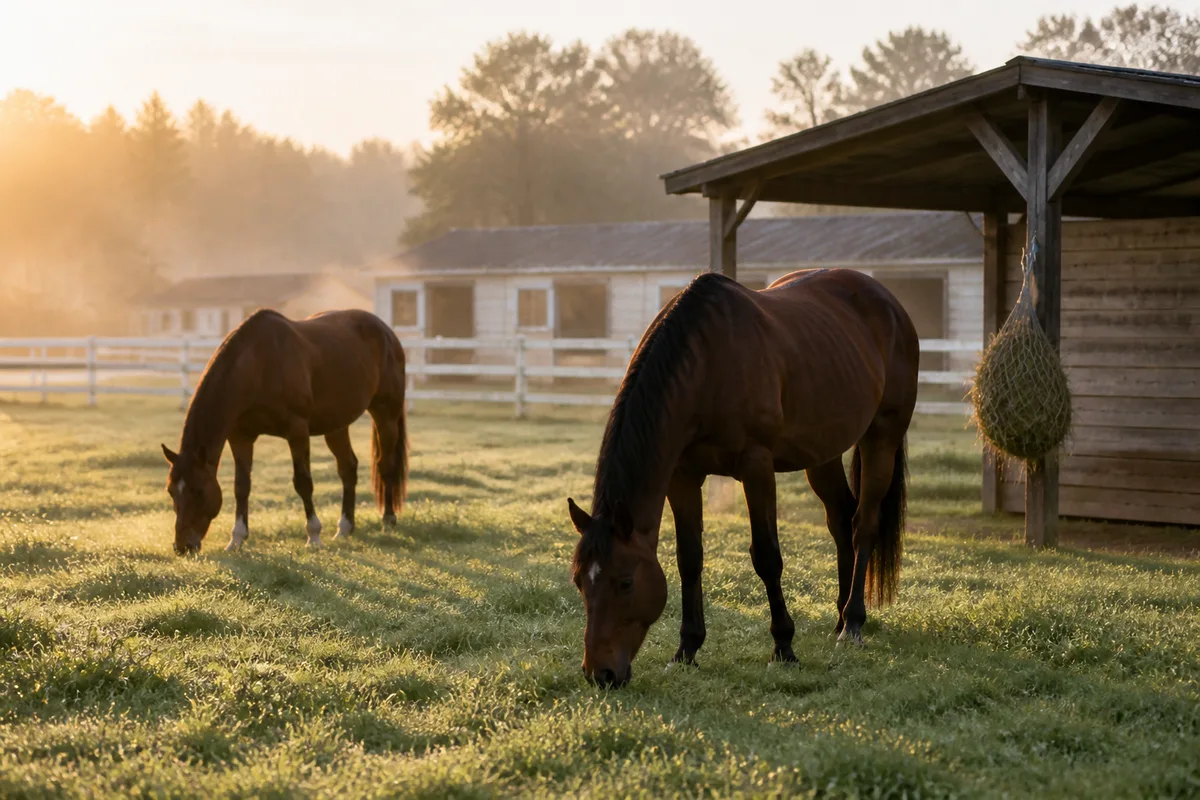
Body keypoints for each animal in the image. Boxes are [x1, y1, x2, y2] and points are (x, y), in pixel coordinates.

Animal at [161, 308, 409, 555]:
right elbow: (241, 486)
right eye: (171, 491)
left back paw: (388, 520)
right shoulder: (241, 437)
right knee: (348, 468)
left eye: (199, 491)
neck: (258, 366)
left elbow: (303, 482)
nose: (182, 546)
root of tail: (387, 332)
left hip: (385, 413)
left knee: (386, 465)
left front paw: (314, 536)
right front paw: (237, 539)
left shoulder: (297, 430)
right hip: (337, 426)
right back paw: (344, 528)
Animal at [566, 268, 919, 688]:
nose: (600, 674)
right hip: (822, 454)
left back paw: (852, 624)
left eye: (625, 582)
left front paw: (784, 648)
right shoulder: (683, 476)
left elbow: (767, 556)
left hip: (882, 436)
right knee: (841, 520)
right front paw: (686, 650)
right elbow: (689, 559)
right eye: (579, 581)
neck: (706, 364)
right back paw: (838, 617)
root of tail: (890, 302)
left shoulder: (757, 466)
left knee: (863, 525)